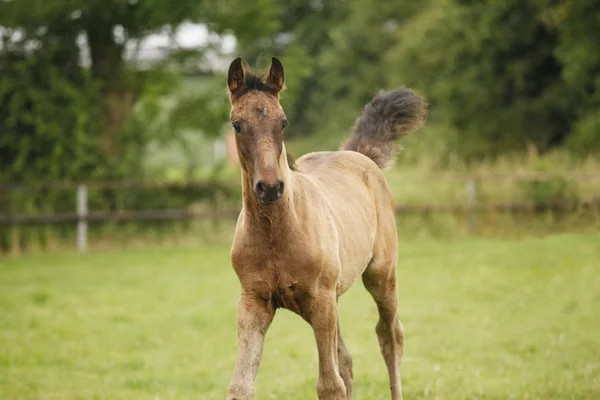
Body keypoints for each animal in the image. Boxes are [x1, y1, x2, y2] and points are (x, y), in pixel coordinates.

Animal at [225, 57, 426, 400]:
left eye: (283, 122)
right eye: (237, 124)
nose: (270, 187)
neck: (277, 233)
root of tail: (359, 154)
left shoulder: (320, 301)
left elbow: (330, 385)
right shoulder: (253, 302)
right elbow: (241, 386)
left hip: (380, 275)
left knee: (390, 336)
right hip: (335, 297)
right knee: (346, 359)